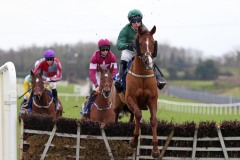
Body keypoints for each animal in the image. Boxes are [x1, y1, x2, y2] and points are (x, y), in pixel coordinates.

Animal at [117, 25, 160, 158]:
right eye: (140, 43)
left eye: (152, 42)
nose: (149, 62)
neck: (142, 75)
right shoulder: (130, 98)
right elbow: (139, 114)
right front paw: (134, 141)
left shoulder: (152, 99)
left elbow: (153, 120)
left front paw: (155, 149)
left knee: (133, 118)